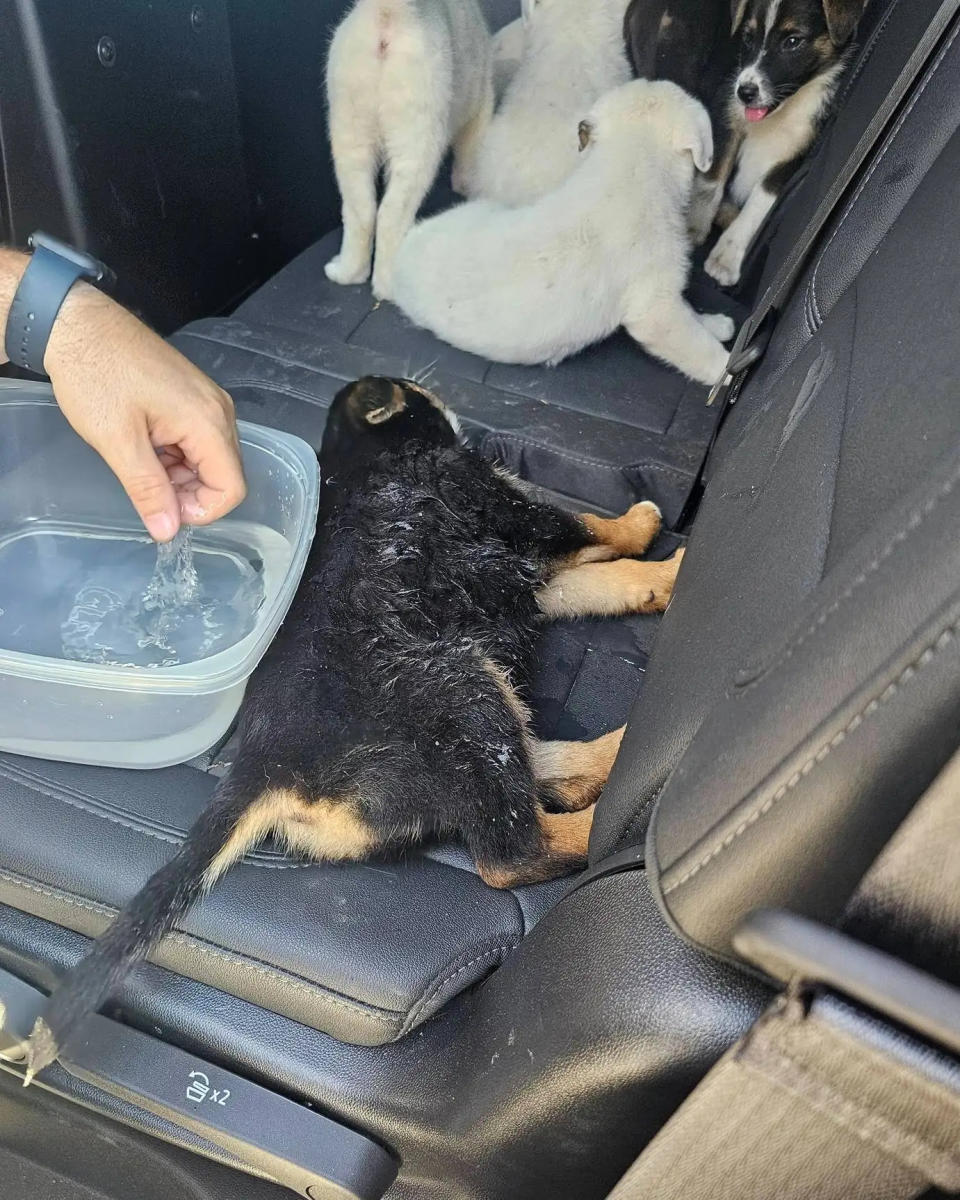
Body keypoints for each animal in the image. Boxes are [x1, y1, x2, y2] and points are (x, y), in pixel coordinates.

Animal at [24, 374, 681, 1080]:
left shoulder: (527, 579)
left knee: (537, 772)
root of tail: (267, 765)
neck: (361, 457)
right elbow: (600, 532)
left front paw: (662, 582)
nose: (438, 391)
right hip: (461, 688)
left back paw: (614, 757)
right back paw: (617, 818)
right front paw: (656, 535)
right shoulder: (505, 506)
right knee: (512, 850)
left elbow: (612, 582)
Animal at [324, 0, 492, 300]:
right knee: (391, 216)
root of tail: (387, 15)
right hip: (419, 133)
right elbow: (470, 165)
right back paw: (390, 287)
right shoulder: (480, 105)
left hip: (348, 125)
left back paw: (347, 272)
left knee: (361, 210)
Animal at [393, 82, 739, 381]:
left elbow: (691, 314)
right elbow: (697, 346)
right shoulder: (655, 308)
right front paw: (726, 370)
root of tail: (402, 254)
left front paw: (713, 324)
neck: (633, 161)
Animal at [700, 0, 864, 285]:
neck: (784, 111)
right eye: (748, 37)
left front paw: (727, 256)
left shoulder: (795, 157)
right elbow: (714, 179)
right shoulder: (728, 119)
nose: (744, 92)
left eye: (792, 41)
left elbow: (758, 202)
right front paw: (693, 225)